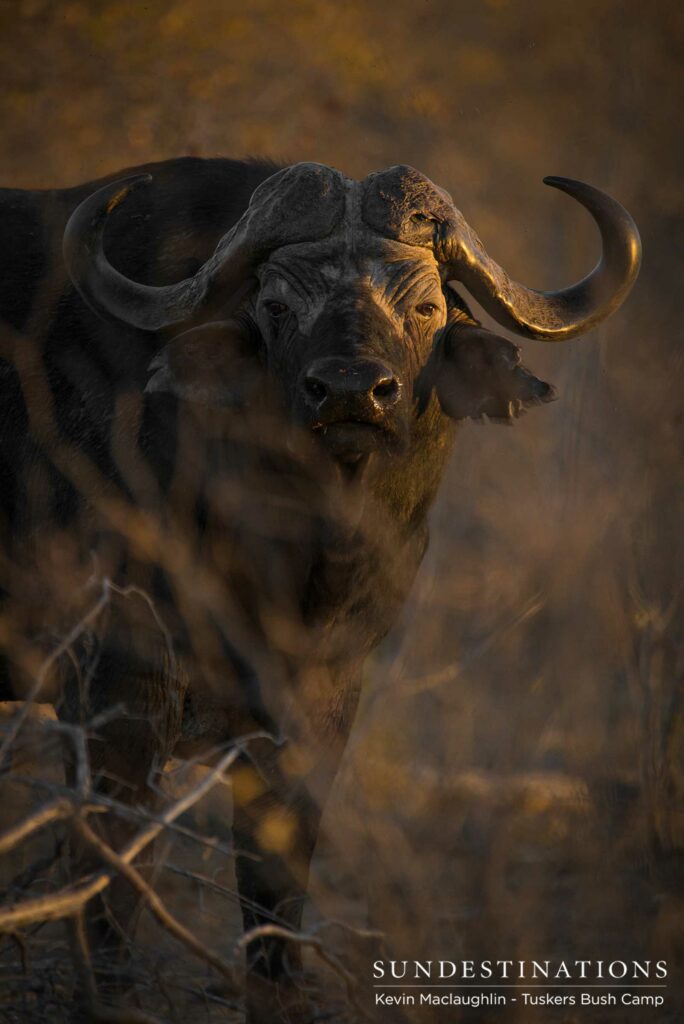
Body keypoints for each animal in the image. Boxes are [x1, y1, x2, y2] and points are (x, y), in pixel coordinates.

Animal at [0, 158, 640, 1022]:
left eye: (426, 306)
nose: (349, 393)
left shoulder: (322, 702)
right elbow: (112, 893)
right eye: (276, 305)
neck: (294, 554)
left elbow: (276, 893)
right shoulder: (117, 691)